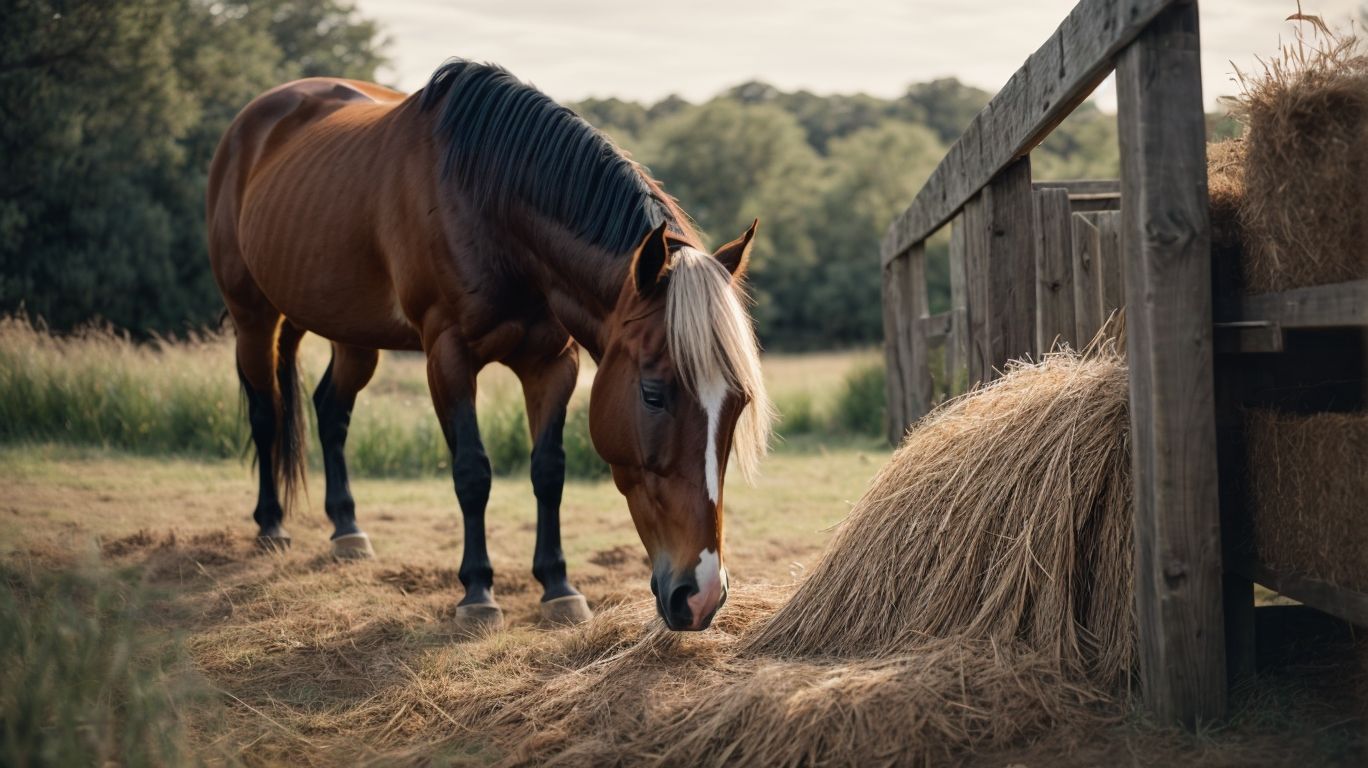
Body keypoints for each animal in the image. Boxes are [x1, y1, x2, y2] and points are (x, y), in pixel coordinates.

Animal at [206, 60, 773, 632]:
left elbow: (548, 469)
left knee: (330, 411)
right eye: (653, 394)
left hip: (352, 334)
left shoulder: (552, 364)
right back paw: (271, 526)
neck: (488, 207)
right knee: (265, 412)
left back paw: (347, 530)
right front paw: (477, 592)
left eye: (739, 403)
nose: (701, 596)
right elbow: (472, 471)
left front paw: (558, 587)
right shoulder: (449, 356)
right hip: (253, 317)